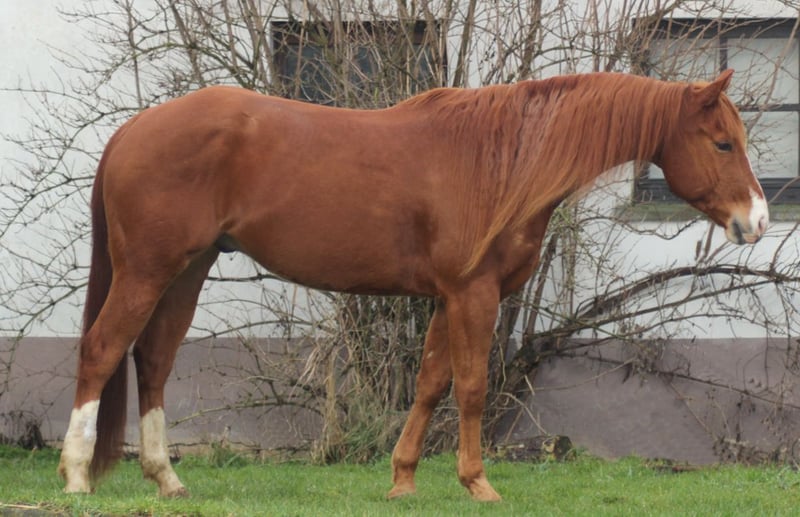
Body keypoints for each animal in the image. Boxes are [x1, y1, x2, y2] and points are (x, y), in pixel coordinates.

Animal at [58, 69, 768, 501]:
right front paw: (478, 483)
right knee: (101, 349)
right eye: (722, 143)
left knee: (153, 359)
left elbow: (430, 382)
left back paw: (166, 480)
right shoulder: (474, 293)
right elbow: (473, 386)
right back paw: (76, 476)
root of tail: (133, 129)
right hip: (148, 269)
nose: (757, 221)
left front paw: (402, 480)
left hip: (188, 269)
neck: (503, 159)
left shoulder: (447, 297)